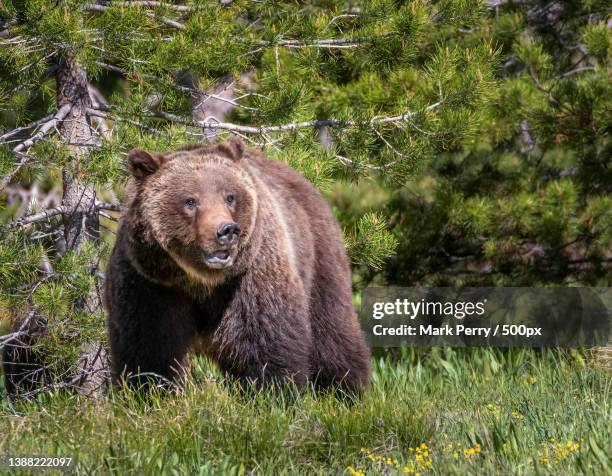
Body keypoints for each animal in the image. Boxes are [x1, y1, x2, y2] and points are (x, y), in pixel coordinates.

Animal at [104, 136, 368, 392]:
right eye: (190, 201)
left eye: (229, 197)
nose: (226, 230)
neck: (199, 281)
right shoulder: (149, 281)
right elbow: (149, 349)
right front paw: (148, 391)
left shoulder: (251, 276)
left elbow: (266, 342)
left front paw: (273, 392)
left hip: (319, 257)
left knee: (331, 333)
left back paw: (343, 390)